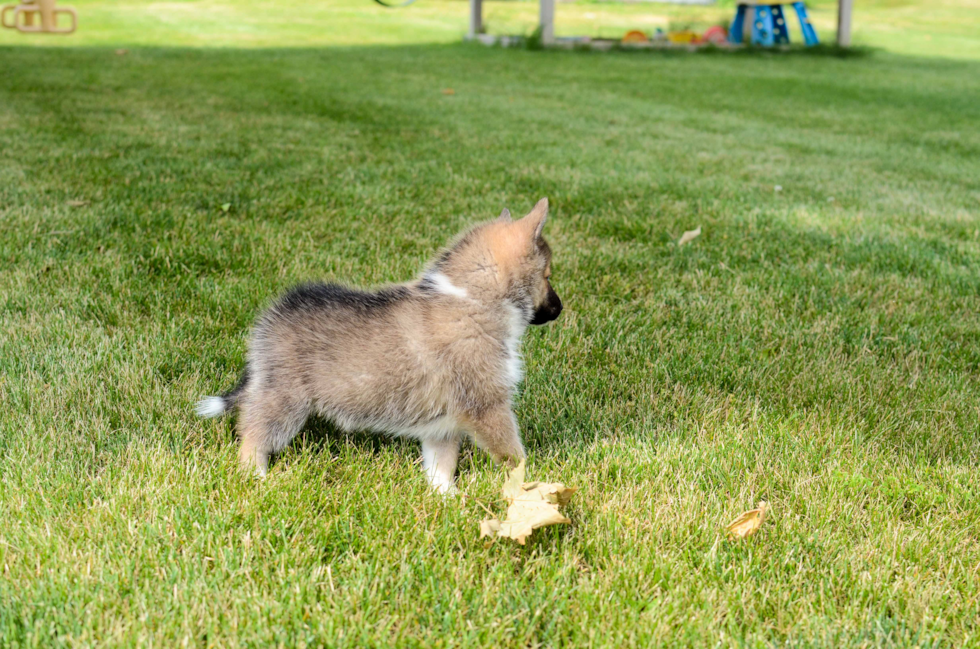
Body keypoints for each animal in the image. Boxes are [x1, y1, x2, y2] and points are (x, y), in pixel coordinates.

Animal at [196, 197, 564, 492]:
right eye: (547, 276)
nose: (560, 309)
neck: (475, 299)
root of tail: (270, 322)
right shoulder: (487, 405)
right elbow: (513, 454)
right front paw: (529, 482)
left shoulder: (443, 422)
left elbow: (441, 464)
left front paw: (446, 497)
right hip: (285, 399)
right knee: (254, 432)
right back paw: (255, 475)